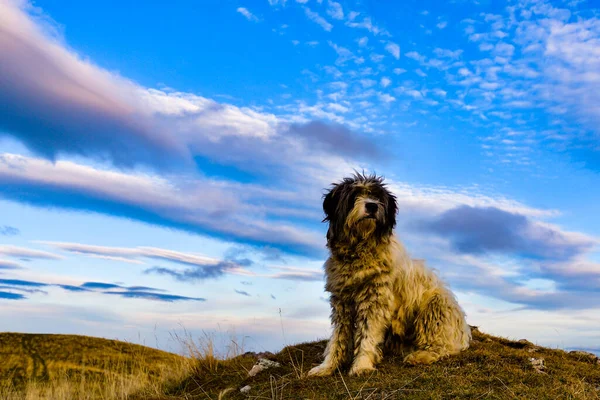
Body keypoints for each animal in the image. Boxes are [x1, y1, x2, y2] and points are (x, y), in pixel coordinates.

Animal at [310, 173, 474, 376]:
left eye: (377, 197)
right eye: (354, 195)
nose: (372, 206)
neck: (359, 250)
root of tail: (465, 334)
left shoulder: (375, 299)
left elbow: (368, 335)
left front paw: (362, 365)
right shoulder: (342, 302)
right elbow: (338, 338)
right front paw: (328, 366)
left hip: (436, 306)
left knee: (441, 346)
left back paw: (421, 356)